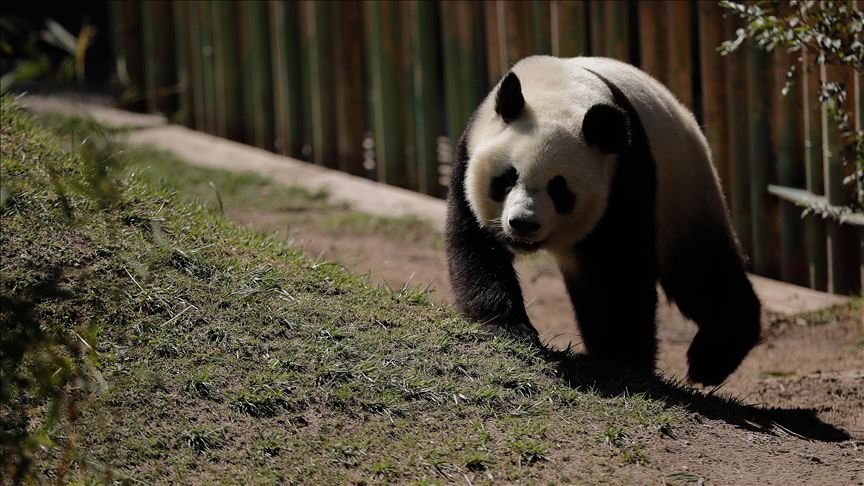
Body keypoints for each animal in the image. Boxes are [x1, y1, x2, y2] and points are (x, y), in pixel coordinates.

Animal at [448, 56, 760, 384]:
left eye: (559, 190)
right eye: (507, 178)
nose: (523, 223)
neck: (556, 88)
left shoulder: (625, 175)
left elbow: (620, 269)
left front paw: (625, 360)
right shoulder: (469, 155)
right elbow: (477, 248)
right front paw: (509, 328)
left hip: (685, 195)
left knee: (701, 273)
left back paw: (711, 359)